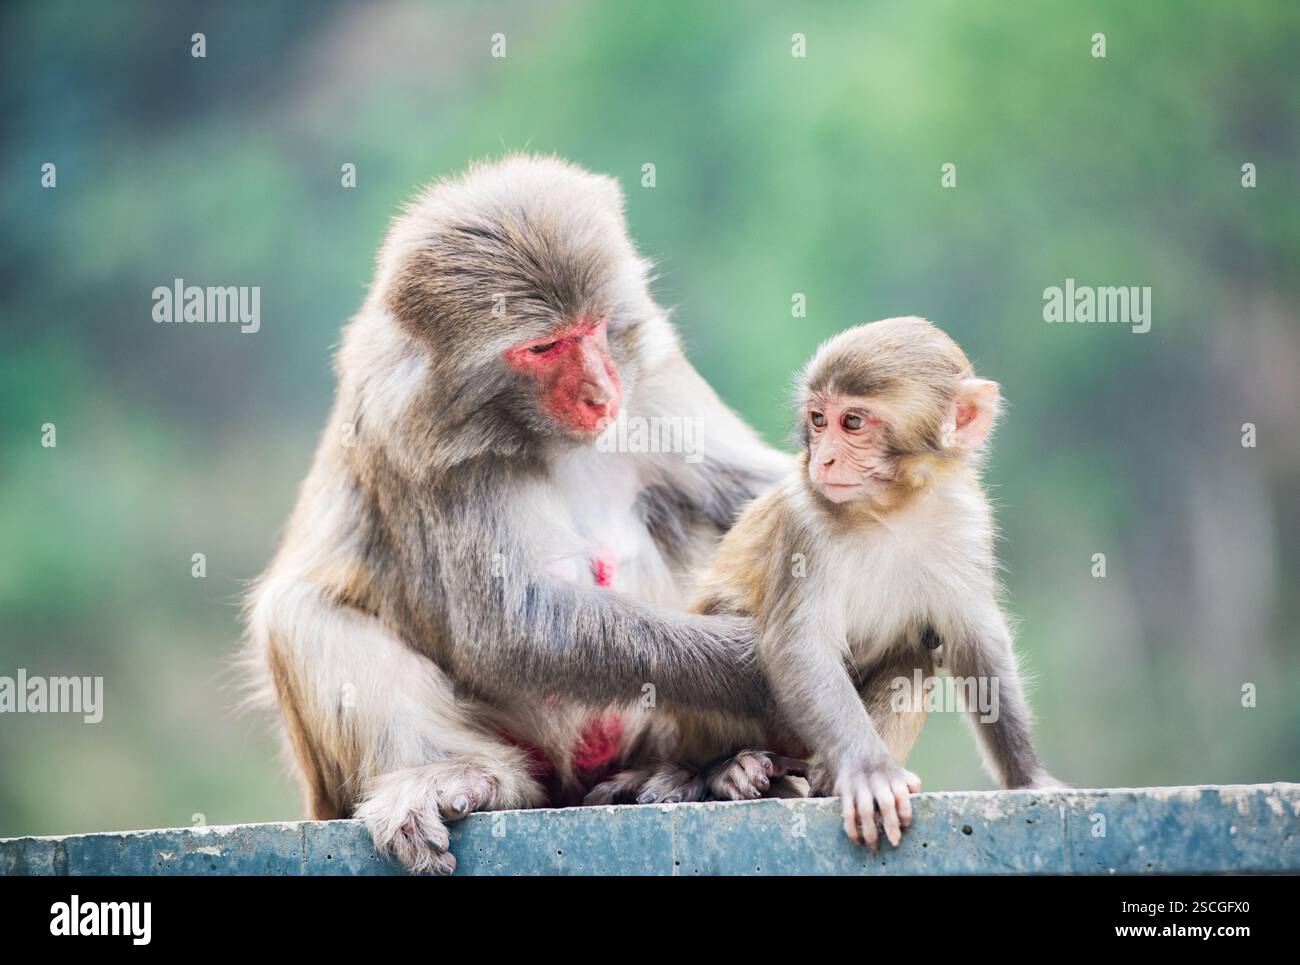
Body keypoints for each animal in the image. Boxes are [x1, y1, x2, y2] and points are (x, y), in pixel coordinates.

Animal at [243, 155, 794, 874]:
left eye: (594, 326)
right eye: (543, 348)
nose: (600, 393)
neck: (540, 432)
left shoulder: (653, 381)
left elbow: (759, 492)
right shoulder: (422, 445)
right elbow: (506, 626)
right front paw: (754, 659)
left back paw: (700, 771)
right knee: (299, 612)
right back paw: (467, 778)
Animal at [587, 317, 1063, 849]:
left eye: (852, 423)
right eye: (818, 419)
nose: (825, 460)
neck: (890, 510)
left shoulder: (966, 520)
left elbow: (975, 644)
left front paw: (1030, 777)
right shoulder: (804, 524)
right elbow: (800, 645)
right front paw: (870, 771)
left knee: (916, 649)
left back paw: (820, 778)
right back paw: (723, 771)